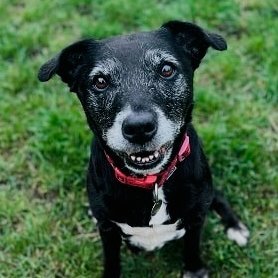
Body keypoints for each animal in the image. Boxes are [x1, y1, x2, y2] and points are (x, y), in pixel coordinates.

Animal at [38, 20, 250, 276]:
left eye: (166, 69)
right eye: (100, 82)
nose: (139, 127)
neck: (152, 183)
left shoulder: (196, 219)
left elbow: (192, 249)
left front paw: (195, 270)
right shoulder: (107, 230)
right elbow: (112, 259)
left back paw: (236, 227)